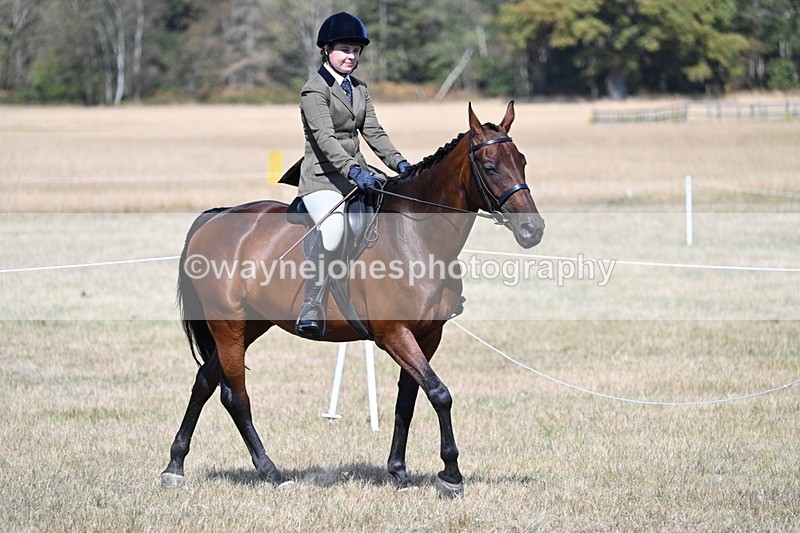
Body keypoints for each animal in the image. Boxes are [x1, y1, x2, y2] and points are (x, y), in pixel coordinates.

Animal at [160, 101, 545, 497]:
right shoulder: (394, 334)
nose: (533, 230)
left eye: (522, 160)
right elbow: (439, 393)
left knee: (204, 382)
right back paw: (272, 473)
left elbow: (408, 400)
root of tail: (217, 216)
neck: (416, 235)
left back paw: (175, 465)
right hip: (228, 324)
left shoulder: (427, 334)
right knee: (235, 396)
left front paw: (399, 472)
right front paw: (451, 474)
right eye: (490, 167)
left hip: (250, 325)